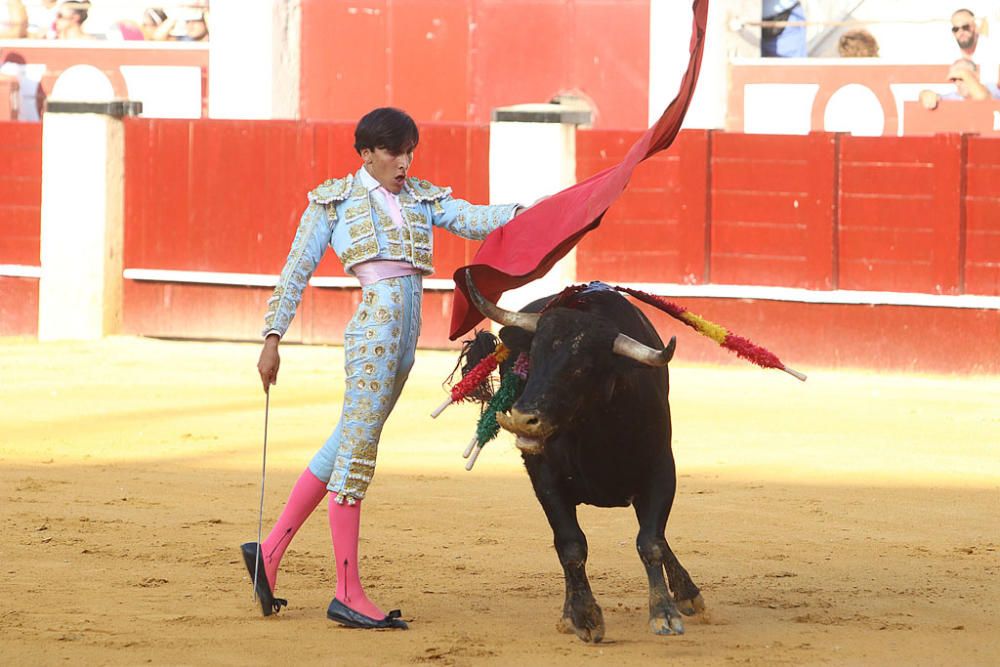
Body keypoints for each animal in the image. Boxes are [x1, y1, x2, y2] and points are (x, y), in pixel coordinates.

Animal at [460, 274, 704, 644]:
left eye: (583, 368)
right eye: (532, 356)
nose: (523, 418)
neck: (595, 432)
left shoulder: (661, 470)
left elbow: (651, 541)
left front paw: (664, 612)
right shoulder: (545, 479)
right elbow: (571, 545)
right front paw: (584, 616)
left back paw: (688, 594)